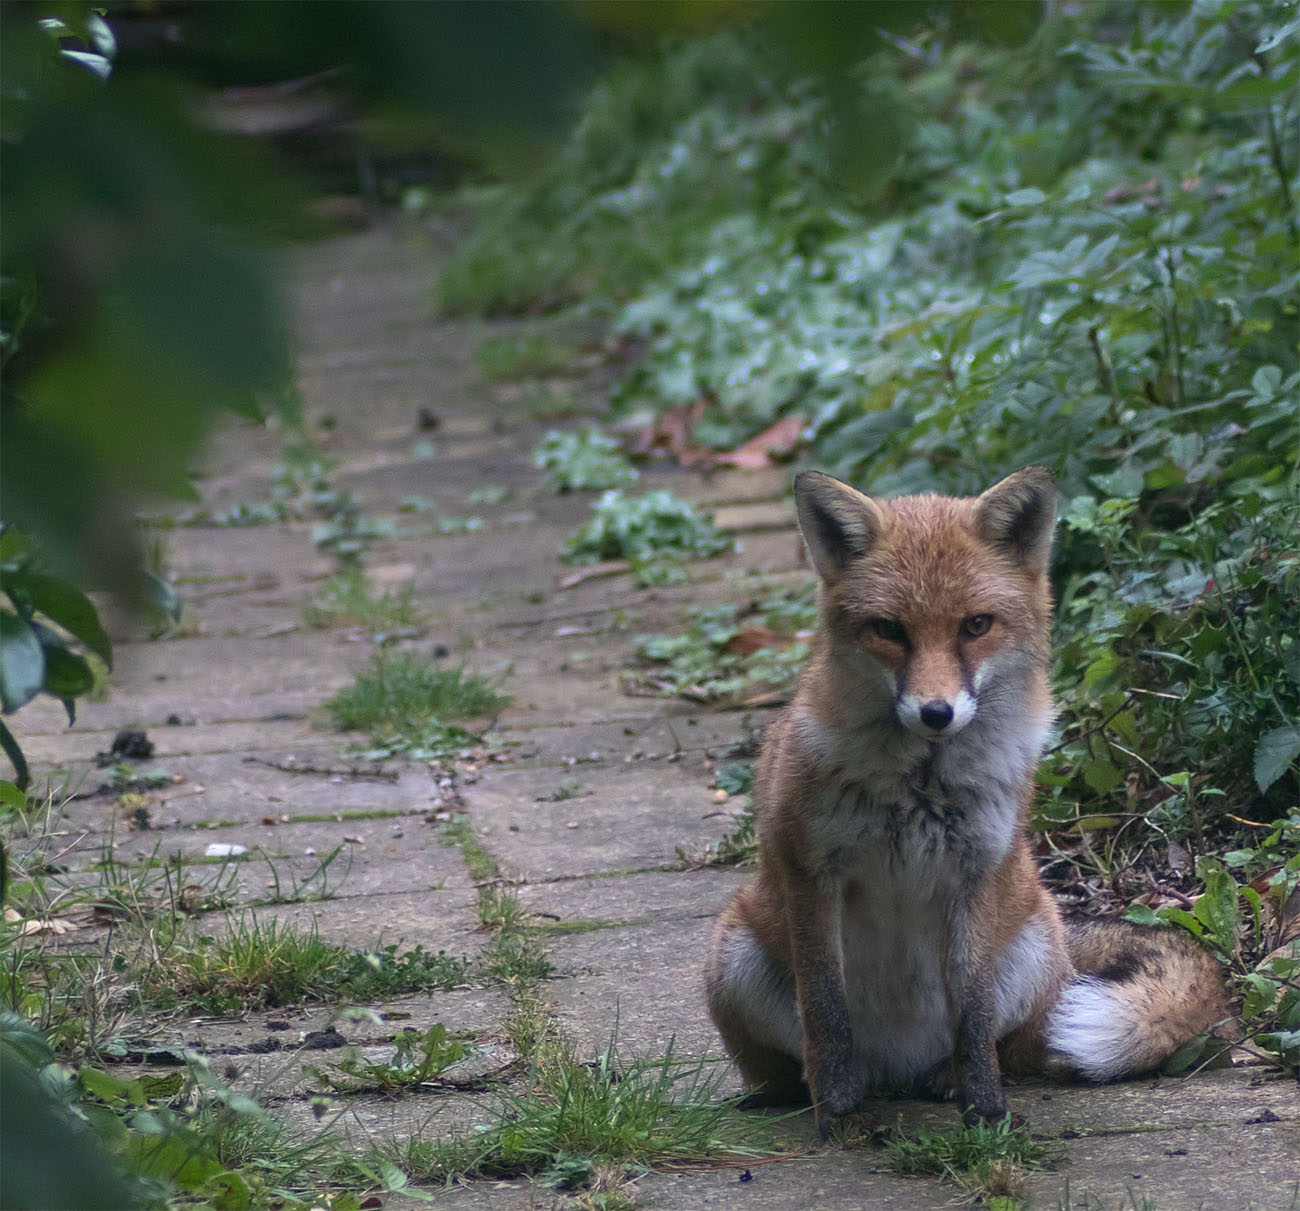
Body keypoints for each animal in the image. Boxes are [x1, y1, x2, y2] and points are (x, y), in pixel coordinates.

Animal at [705, 467, 1231, 1137]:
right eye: (890, 630)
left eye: (975, 626)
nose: (936, 713)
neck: (922, 786)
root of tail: (896, 1071)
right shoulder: (811, 869)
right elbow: (826, 1014)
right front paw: (839, 1116)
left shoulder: (976, 872)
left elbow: (975, 1018)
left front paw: (986, 1114)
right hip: (734, 956)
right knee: (789, 1060)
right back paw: (791, 1096)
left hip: (1032, 945)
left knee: (1002, 1045)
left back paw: (950, 1081)